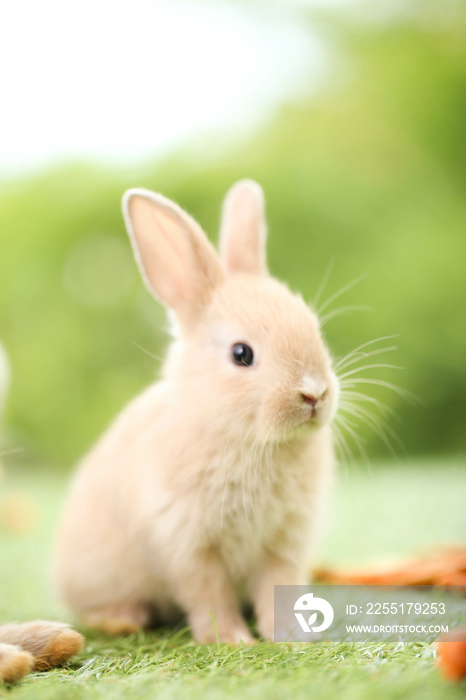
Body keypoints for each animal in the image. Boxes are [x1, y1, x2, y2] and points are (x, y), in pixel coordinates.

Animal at [53, 182, 338, 644]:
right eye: (241, 354)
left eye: (314, 328)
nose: (314, 393)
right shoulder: (189, 544)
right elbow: (209, 595)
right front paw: (232, 640)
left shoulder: (283, 542)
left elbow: (277, 587)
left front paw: (289, 635)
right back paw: (124, 618)